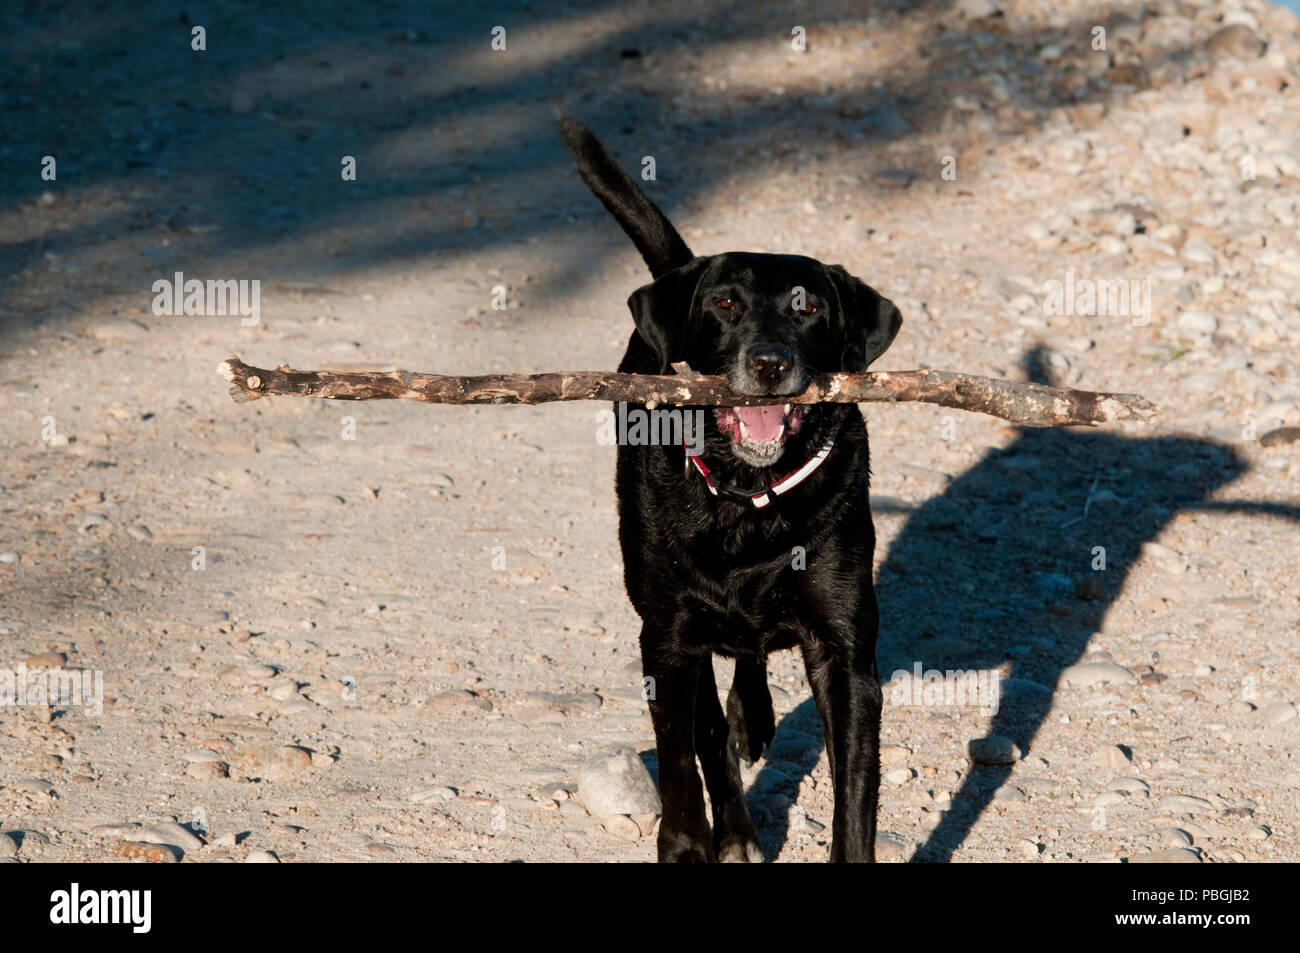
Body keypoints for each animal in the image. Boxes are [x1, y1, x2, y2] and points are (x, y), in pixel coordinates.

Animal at [559, 115, 904, 858]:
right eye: (724, 304)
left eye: (808, 309)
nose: (770, 362)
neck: (750, 498)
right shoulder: (666, 639)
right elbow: (683, 756)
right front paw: (690, 842)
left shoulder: (844, 651)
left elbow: (854, 793)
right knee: (710, 722)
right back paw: (737, 827)